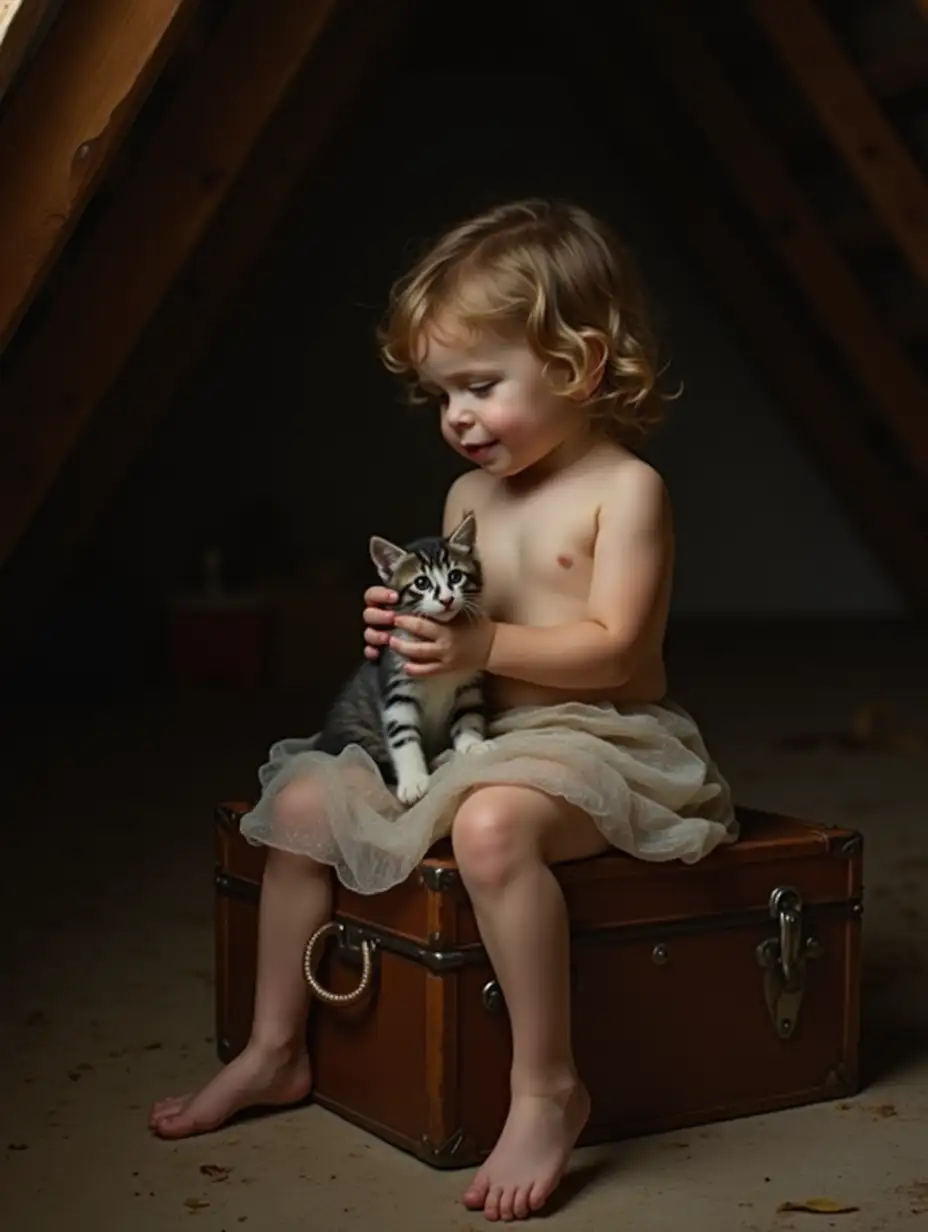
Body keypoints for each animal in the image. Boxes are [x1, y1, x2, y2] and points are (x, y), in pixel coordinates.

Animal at [315, 510, 492, 808]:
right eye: (421, 583)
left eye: (456, 576)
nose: (446, 599)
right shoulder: (397, 691)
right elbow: (403, 736)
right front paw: (413, 781)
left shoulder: (468, 685)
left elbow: (468, 717)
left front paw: (472, 745)